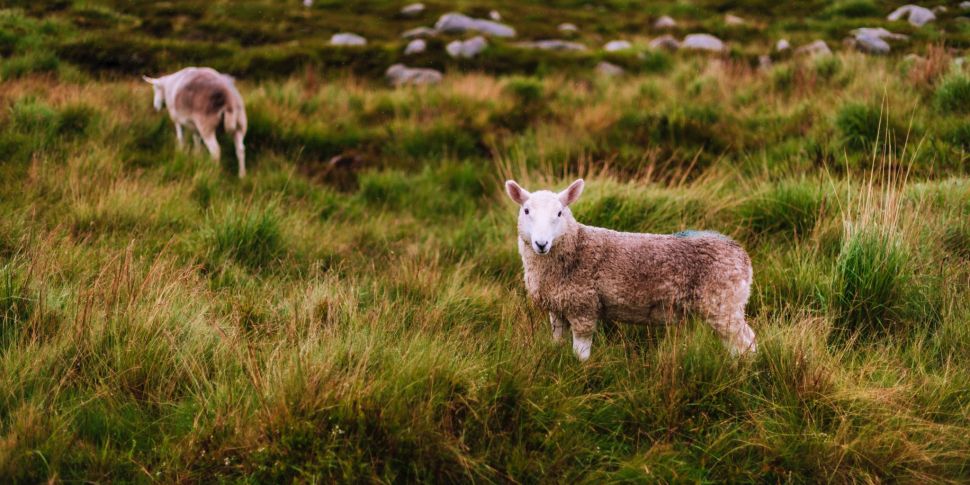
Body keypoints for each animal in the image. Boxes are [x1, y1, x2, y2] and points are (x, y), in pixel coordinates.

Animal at [506, 178, 756, 360]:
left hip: (723, 302)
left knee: (746, 343)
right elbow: (557, 342)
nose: (541, 243)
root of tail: (741, 254)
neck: (575, 245)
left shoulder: (583, 307)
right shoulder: (557, 308)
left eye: (559, 213)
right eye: (526, 211)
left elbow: (581, 354)